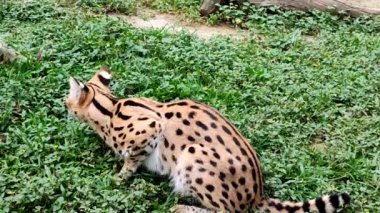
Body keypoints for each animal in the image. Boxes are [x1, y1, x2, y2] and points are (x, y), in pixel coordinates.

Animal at [64, 67, 350, 212]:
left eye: (68, 99)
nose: (63, 104)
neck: (111, 108)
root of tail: (258, 194)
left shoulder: (151, 126)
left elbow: (132, 159)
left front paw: (118, 178)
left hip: (193, 156)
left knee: (227, 212)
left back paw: (181, 208)